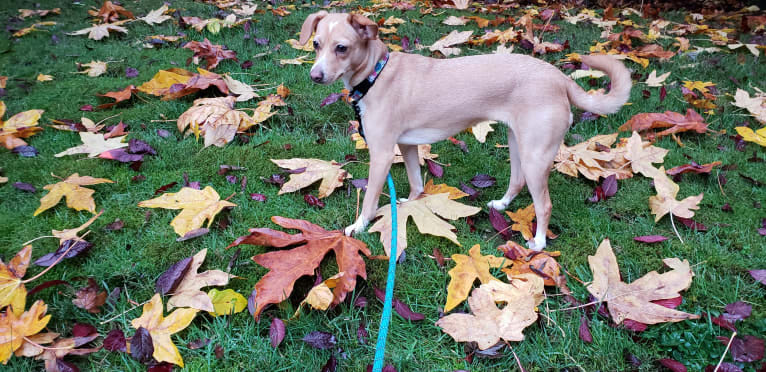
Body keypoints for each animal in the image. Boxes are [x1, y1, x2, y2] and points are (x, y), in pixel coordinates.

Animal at [300, 11, 632, 251]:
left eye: (342, 48)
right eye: (316, 44)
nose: (315, 76)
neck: (376, 73)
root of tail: (560, 78)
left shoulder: (381, 154)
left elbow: (370, 200)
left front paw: (359, 227)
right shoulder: (407, 146)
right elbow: (416, 181)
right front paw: (410, 203)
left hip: (536, 155)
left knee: (544, 204)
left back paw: (538, 243)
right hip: (518, 144)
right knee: (517, 180)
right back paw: (502, 204)